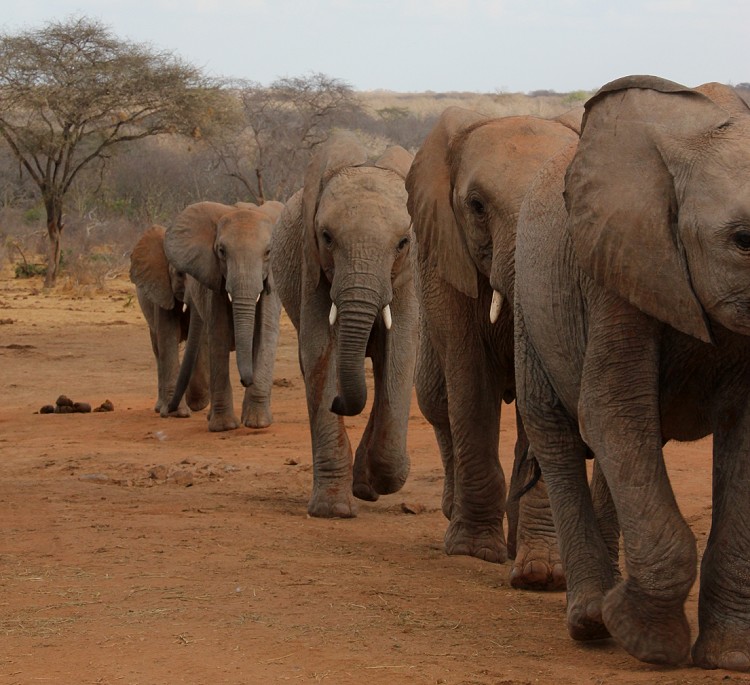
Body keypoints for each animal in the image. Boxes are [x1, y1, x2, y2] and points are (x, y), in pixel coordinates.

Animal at [128, 224, 207, 416]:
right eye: (179, 274)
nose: (170, 409)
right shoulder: (162, 287)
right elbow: (168, 336)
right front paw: (178, 413)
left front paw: (197, 404)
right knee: (157, 349)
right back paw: (160, 407)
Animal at [164, 200, 282, 430]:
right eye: (222, 251)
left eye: (268, 252)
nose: (246, 380)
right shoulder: (215, 280)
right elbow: (218, 335)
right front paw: (224, 427)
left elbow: (266, 332)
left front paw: (257, 424)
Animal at [274, 132, 420, 520]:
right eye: (327, 237)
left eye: (403, 242)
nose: (339, 402)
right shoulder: (310, 263)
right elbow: (318, 351)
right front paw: (333, 510)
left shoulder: (409, 274)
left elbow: (401, 350)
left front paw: (383, 480)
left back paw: (367, 486)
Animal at [408, 107, 584, 588]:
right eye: (476, 206)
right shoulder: (446, 261)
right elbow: (469, 386)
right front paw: (472, 552)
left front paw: (543, 572)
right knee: (436, 401)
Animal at [516, 75, 750, 668]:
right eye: (744, 241)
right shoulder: (619, 259)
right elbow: (614, 407)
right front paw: (649, 642)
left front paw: (730, 658)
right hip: (531, 298)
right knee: (558, 432)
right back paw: (591, 620)